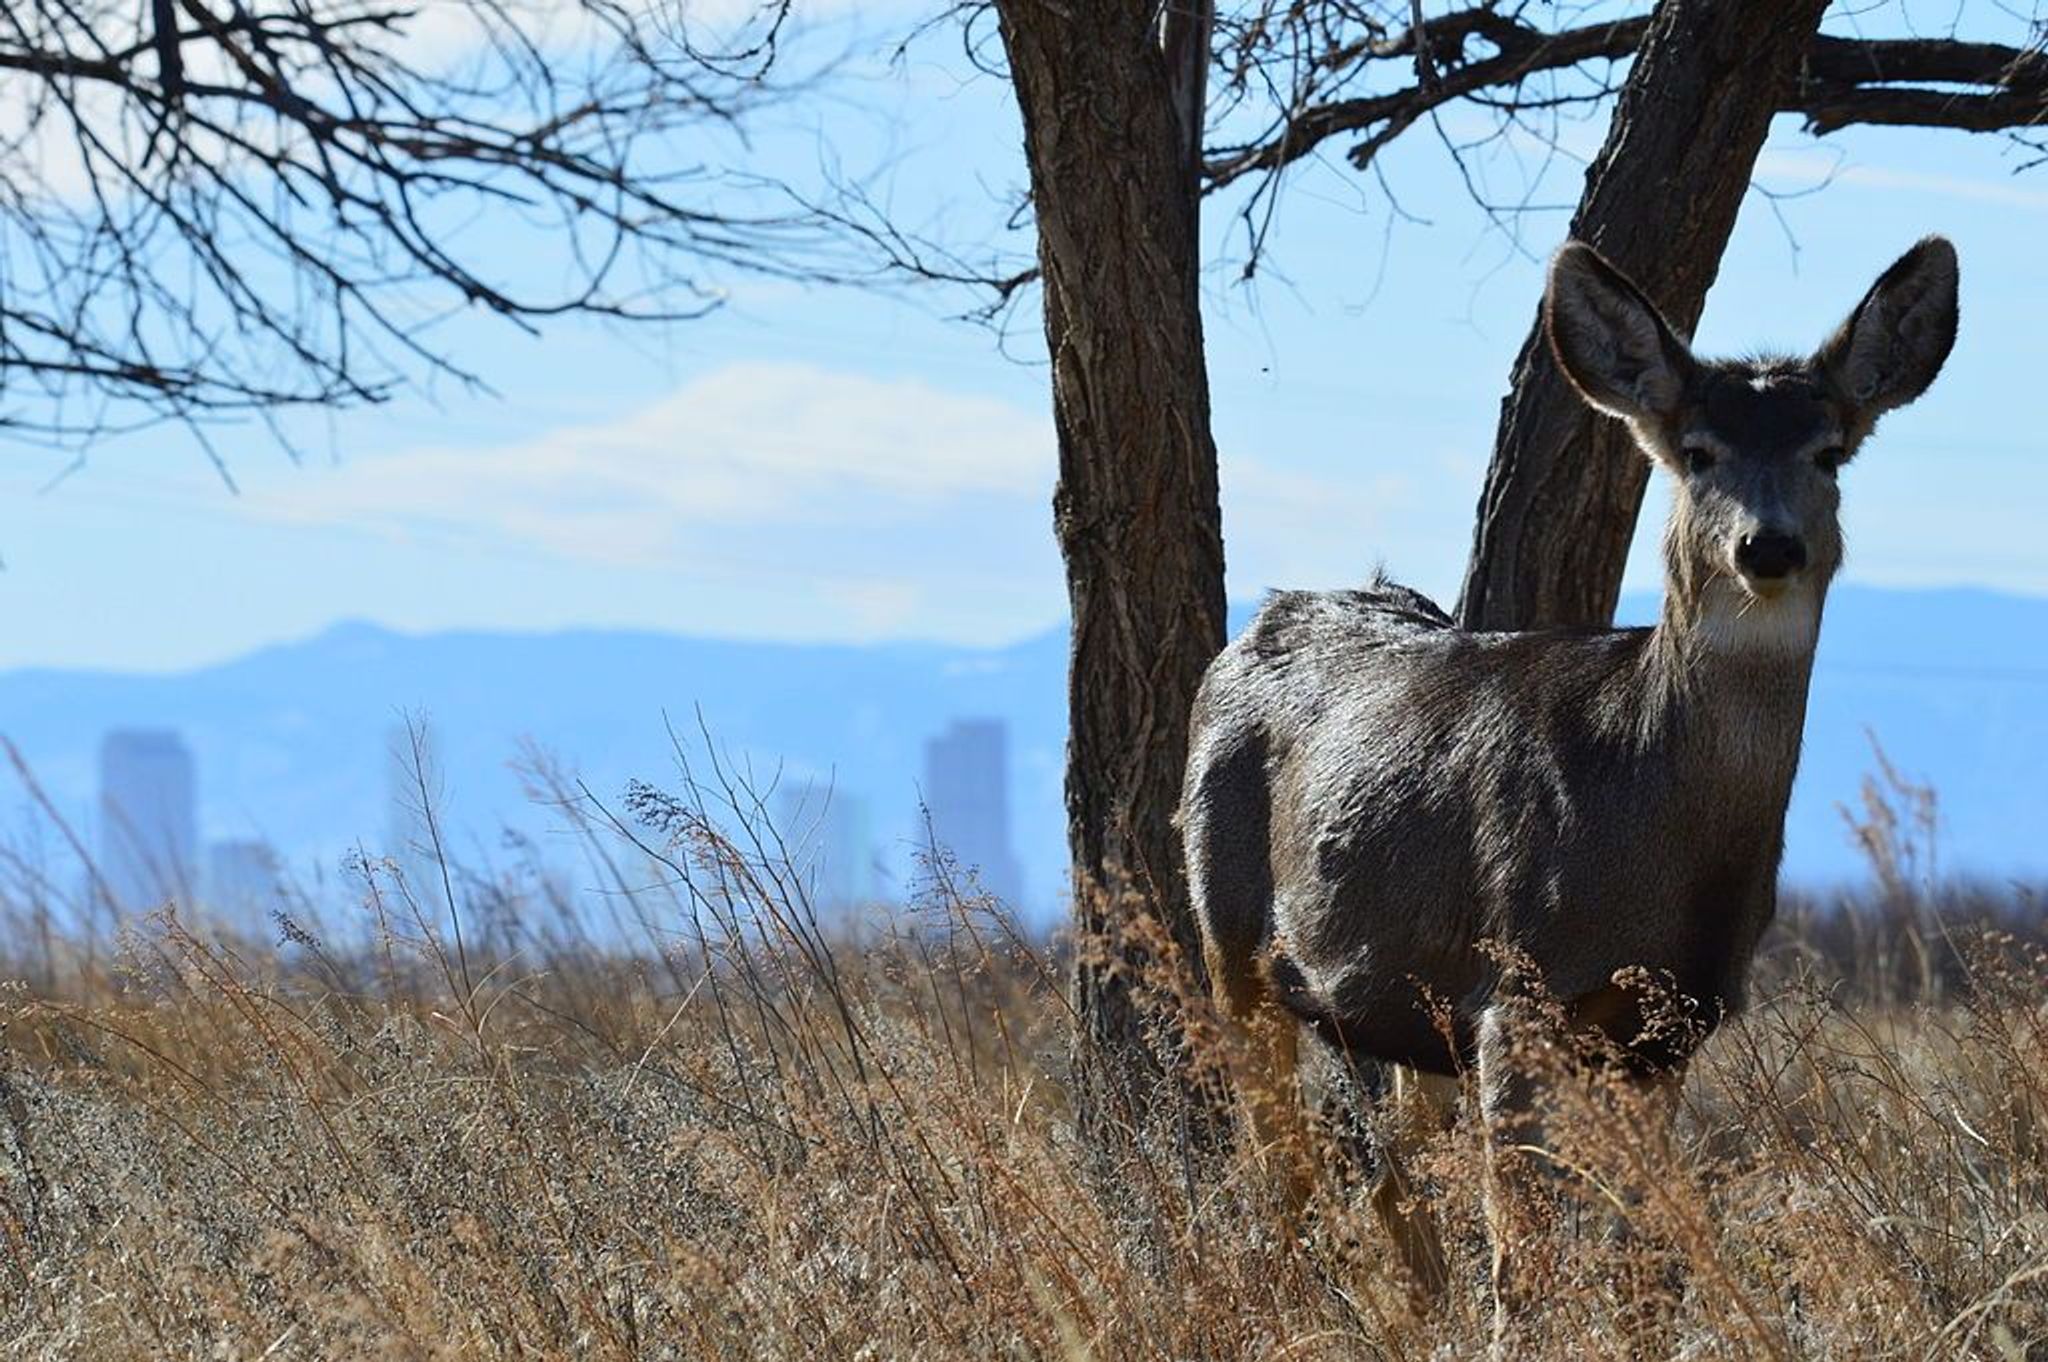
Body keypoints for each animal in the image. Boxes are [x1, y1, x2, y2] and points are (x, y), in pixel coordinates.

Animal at [1196, 236, 1957, 1327]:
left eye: (1828, 453)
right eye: (1697, 452)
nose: (1768, 544)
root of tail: (1268, 615)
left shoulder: (1670, 1023)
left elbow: (1646, 1246)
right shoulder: (1518, 989)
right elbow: (1524, 1250)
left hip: (1388, 994)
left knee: (1384, 1163)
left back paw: (1417, 1307)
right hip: (1229, 934)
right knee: (1281, 1162)